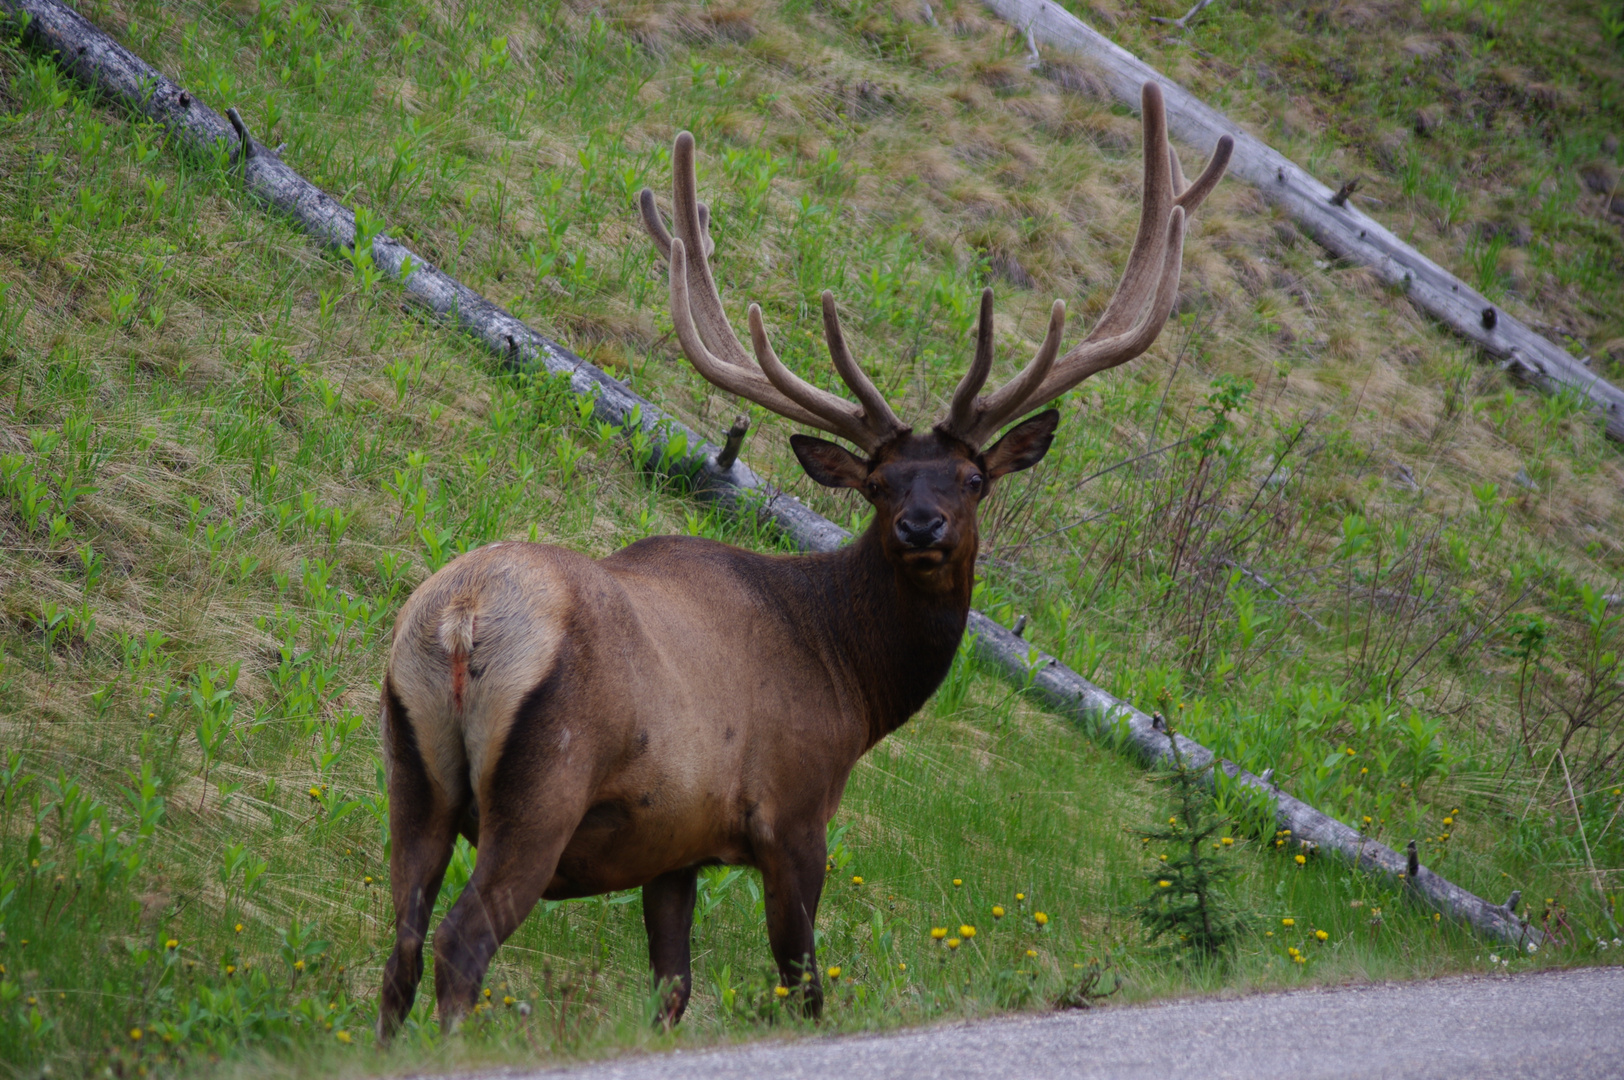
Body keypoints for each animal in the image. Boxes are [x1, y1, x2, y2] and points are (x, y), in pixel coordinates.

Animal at [373, 84, 1221, 1039]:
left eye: (972, 478)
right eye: (878, 483)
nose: (921, 526)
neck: (850, 678)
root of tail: (462, 619)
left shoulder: (676, 846)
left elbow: (672, 989)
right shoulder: (794, 813)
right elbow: (803, 983)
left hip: (411, 765)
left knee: (401, 943)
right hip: (543, 782)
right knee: (462, 938)